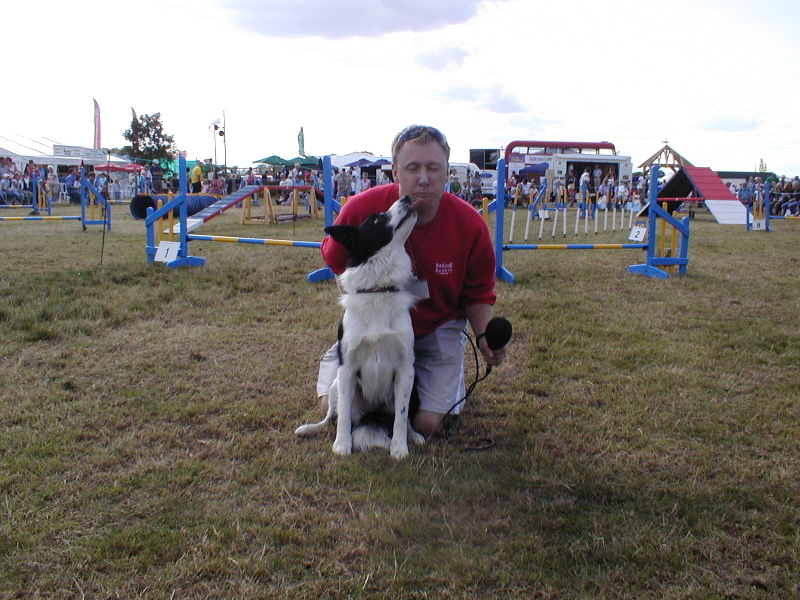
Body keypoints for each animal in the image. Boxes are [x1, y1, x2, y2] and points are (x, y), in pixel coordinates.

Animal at [296, 197, 424, 460]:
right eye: (375, 219)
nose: (406, 198)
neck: (379, 290)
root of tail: (371, 414)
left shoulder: (405, 367)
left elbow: (401, 417)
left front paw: (399, 448)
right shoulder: (347, 368)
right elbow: (344, 415)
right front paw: (342, 445)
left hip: (414, 383)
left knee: (406, 418)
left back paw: (414, 436)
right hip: (334, 384)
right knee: (331, 417)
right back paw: (310, 428)